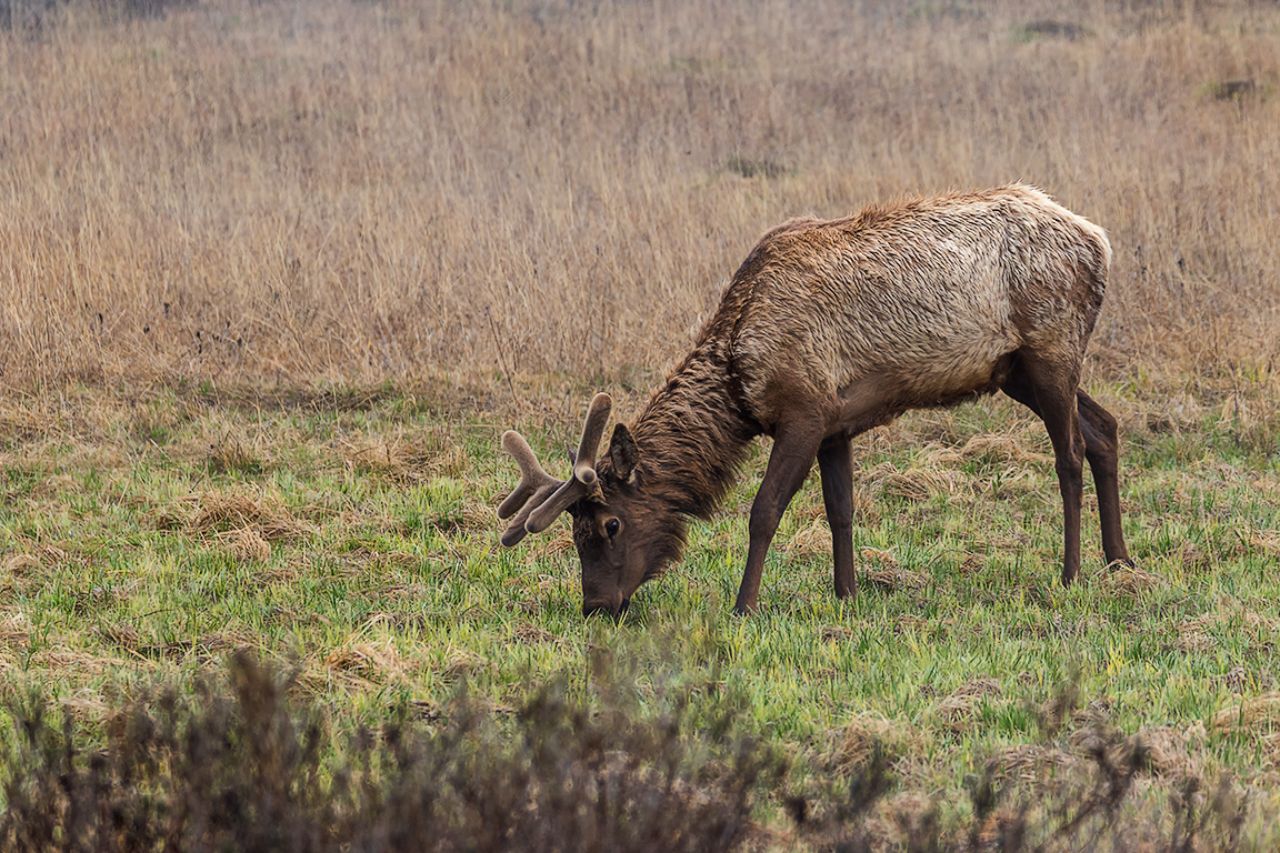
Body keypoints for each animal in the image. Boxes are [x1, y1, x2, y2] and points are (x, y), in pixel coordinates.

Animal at [497, 184, 1133, 618]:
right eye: (575, 532)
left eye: (609, 525)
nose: (596, 607)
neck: (739, 376)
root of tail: (1100, 241)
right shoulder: (837, 424)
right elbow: (840, 510)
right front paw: (847, 593)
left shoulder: (803, 412)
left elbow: (764, 511)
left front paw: (744, 605)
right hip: (1018, 370)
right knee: (1105, 428)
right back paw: (1119, 560)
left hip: (1051, 349)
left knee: (1070, 454)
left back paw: (1072, 572)